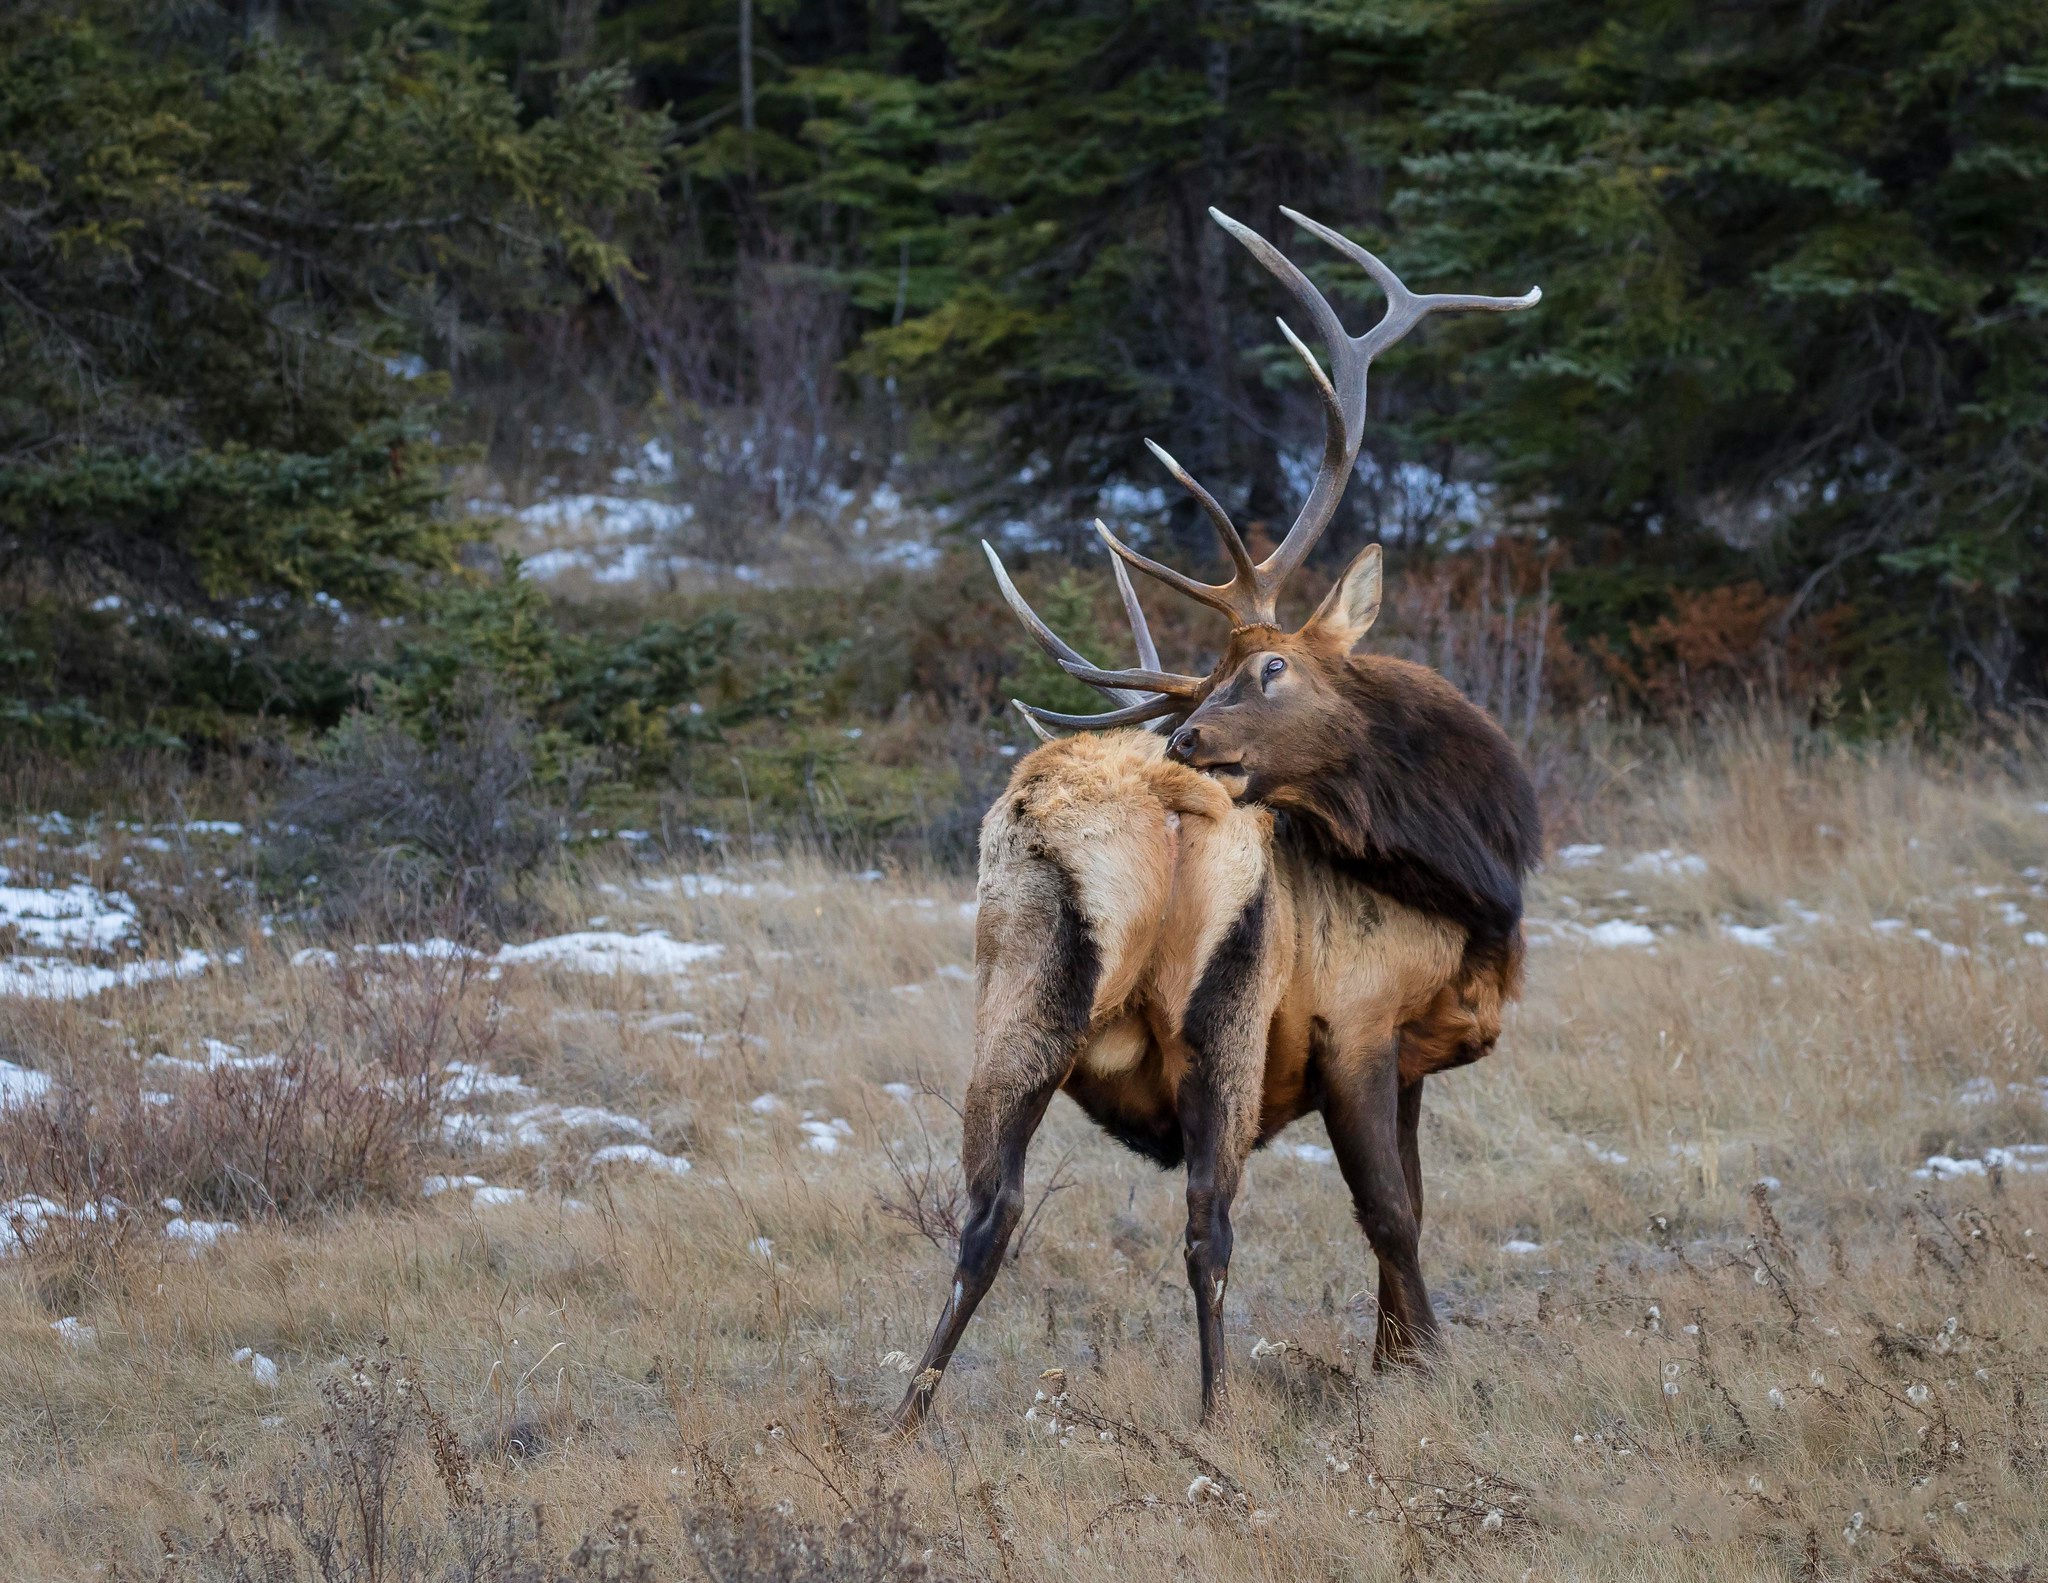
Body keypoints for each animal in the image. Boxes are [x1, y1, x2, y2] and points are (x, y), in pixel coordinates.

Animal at [892, 203, 1540, 1425]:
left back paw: (903, 1416)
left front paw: (1396, 1356)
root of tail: (1147, 812)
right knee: (1208, 1222)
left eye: (1271, 666)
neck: (1472, 888)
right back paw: (1212, 1412)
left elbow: (1410, 1208)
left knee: (987, 1209)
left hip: (1017, 991)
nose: (1184, 735)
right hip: (1224, 1012)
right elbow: (1391, 1215)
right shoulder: (1358, 1021)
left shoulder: (1405, 1053)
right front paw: (1425, 1364)